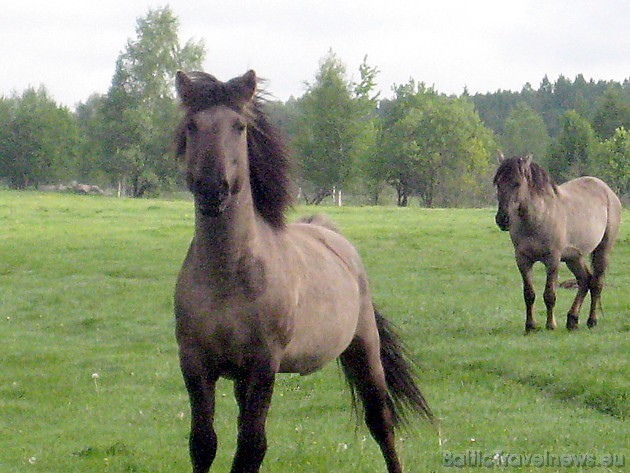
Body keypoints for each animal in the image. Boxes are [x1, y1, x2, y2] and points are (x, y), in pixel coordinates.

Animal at [173, 71, 434, 472]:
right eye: (192, 125)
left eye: (239, 126)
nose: (213, 189)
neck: (226, 276)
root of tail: (332, 236)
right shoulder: (195, 362)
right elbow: (204, 444)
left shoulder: (263, 364)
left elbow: (251, 447)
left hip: (364, 348)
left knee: (382, 423)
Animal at [494, 155, 624, 332]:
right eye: (498, 183)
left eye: (517, 183)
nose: (502, 219)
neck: (538, 218)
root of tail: (607, 191)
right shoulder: (522, 260)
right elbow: (529, 294)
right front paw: (530, 326)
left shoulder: (553, 260)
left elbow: (549, 294)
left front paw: (550, 325)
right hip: (574, 257)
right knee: (585, 281)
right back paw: (572, 320)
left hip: (602, 250)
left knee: (596, 283)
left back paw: (591, 321)